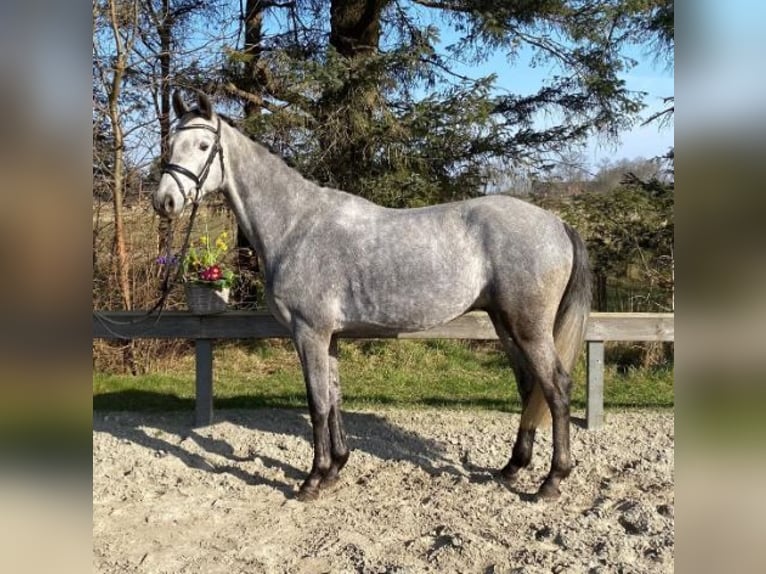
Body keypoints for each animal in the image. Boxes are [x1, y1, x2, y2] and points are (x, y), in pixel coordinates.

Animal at [154, 92, 592, 502]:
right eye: (172, 143)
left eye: (203, 146)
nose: (165, 201)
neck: (296, 225)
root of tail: (557, 223)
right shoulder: (327, 336)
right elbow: (333, 398)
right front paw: (335, 469)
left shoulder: (309, 333)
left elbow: (317, 404)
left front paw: (312, 480)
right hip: (505, 324)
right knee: (529, 386)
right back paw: (513, 467)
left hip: (529, 328)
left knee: (556, 388)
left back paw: (552, 480)